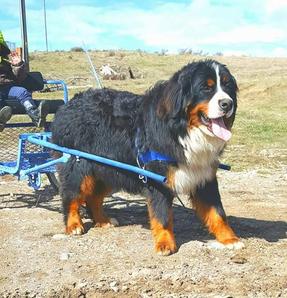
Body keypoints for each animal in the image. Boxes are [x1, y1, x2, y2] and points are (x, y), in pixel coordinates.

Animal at [51, 59, 243, 255]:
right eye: (206, 87)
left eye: (227, 86)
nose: (227, 104)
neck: (182, 131)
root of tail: (68, 104)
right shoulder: (158, 178)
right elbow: (162, 215)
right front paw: (165, 243)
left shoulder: (204, 176)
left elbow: (218, 213)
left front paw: (230, 239)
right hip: (79, 167)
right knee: (70, 196)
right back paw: (74, 225)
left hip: (109, 170)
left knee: (93, 198)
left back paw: (103, 221)